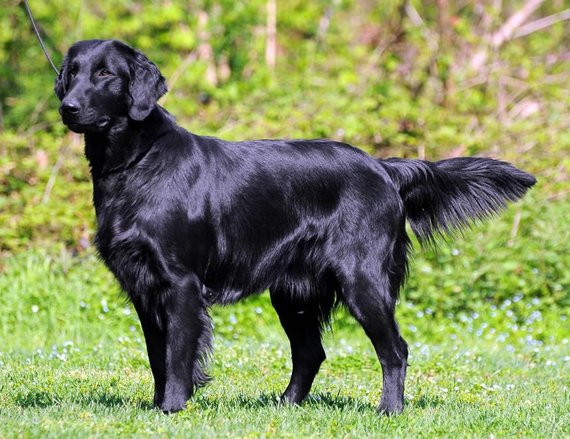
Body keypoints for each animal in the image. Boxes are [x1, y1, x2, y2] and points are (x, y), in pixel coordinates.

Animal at [53, 40, 532, 416]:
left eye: (105, 74)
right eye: (71, 72)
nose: (67, 107)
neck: (137, 162)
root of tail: (382, 167)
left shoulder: (180, 282)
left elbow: (177, 354)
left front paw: (171, 408)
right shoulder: (142, 285)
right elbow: (158, 355)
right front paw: (156, 408)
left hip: (362, 278)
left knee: (395, 349)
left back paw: (389, 410)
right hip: (293, 292)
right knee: (310, 353)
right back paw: (285, 406)